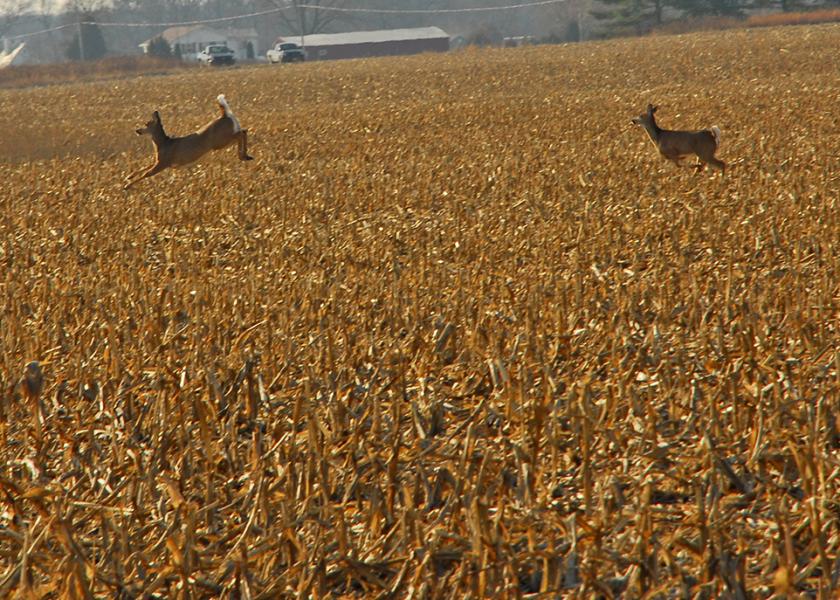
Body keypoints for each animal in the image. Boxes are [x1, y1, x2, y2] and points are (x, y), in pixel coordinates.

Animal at [124, 94, 253, 190]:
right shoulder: (159, 161)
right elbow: (144, 167)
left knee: (241, 133)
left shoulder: (163, 163)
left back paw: (243, 156)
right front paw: (129, 176)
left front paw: (127, 186)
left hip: (220, 141)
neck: (162, 144)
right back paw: (245, 155)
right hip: (224, 141)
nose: (137, 130)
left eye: (146, 124)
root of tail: (225, 115)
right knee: (243, 131)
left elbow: (146, 173)